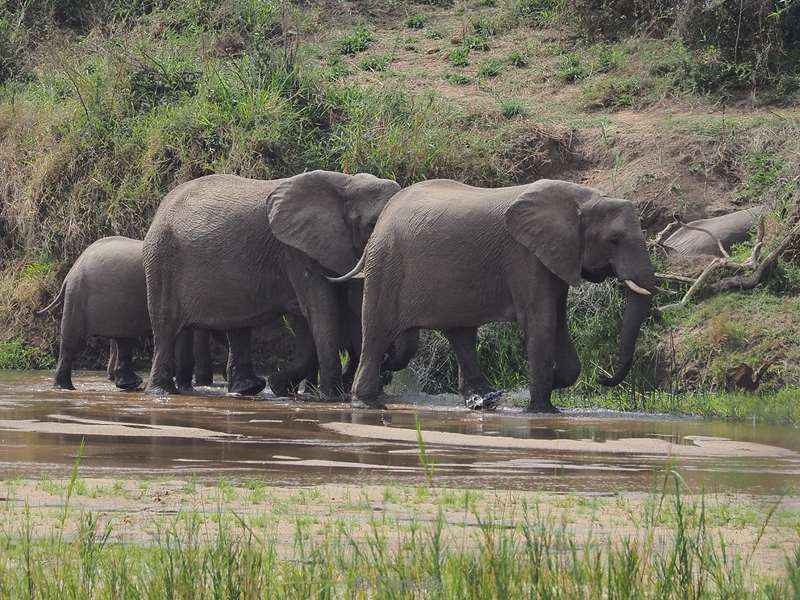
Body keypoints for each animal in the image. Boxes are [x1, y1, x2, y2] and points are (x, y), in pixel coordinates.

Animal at [38, 237, 222, 392]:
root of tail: (70, 274)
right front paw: (187, 389)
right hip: (78, 298)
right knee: (72, 343)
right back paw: (65, 387)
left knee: (123, 340)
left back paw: (130, 384)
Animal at [141, 168, 404, 398]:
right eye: (371, 225)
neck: (347, 183)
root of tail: (160, 209)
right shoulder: (296, 251)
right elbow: (322, 310)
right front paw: (332, 396)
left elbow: (332, 312)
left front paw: (283, 386)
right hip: (162, 257)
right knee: (165, 327)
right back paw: (161, 392)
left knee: (238, 325)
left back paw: (249, 388)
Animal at [336, 178, 656, 412]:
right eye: (614, 240)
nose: (602, 377)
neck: (581, 198)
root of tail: (384, 216)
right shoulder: (525, 255)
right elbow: (540, 323)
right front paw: (541, 410)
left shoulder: (555, 256)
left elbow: (558, 320)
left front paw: (551, 384)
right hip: (386, 264)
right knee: (377, 333)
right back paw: (367, 402)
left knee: (460, 333)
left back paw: (484, 399)